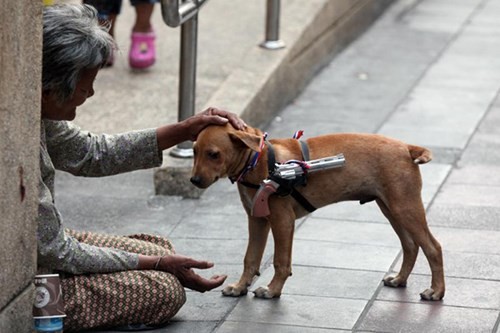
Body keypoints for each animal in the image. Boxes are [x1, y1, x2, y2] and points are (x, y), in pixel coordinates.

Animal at [191, 123, 446, 300]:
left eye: (213, 154)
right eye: (194, 151)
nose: (193, 181)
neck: (259, 160)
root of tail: (406, 147)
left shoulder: (282, 221)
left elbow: (280, 261)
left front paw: (273, 290)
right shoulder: (257, 220)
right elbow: (250, 258)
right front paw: (240, 287)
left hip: (406, 208)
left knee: (433, 247)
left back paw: (436, 291)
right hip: (391, 208)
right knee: (411, 245)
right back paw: (401, 279)